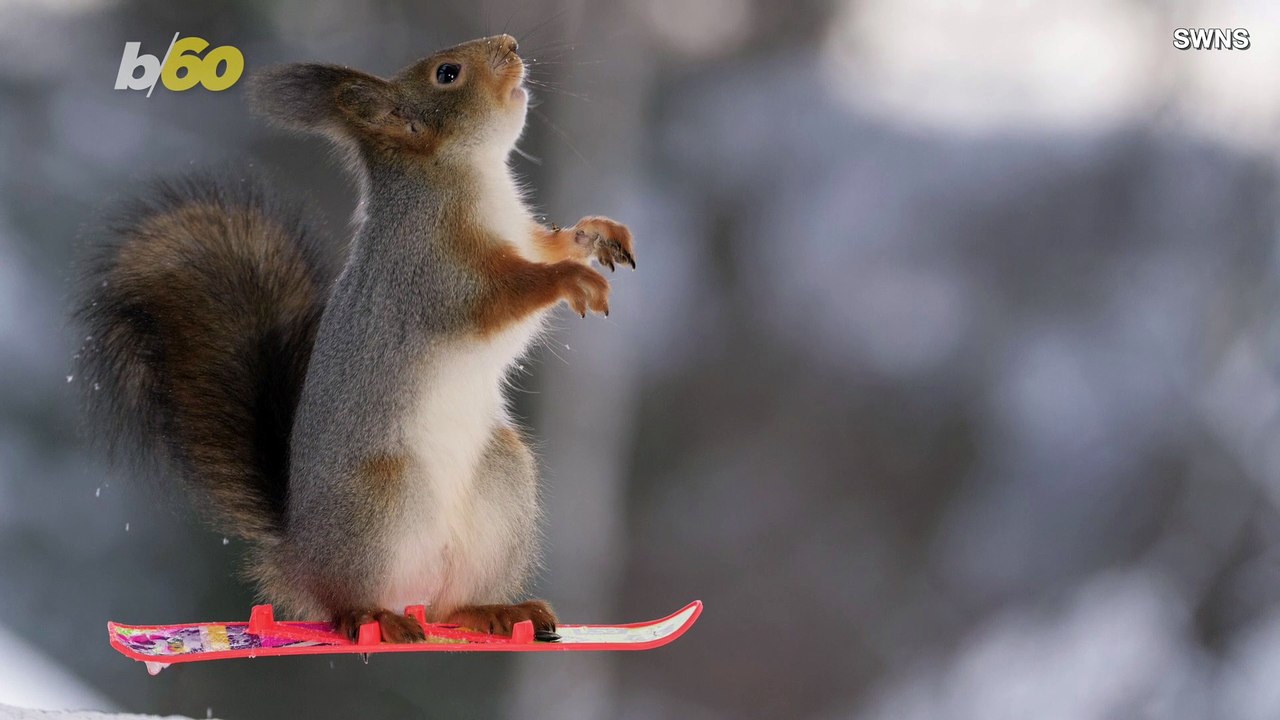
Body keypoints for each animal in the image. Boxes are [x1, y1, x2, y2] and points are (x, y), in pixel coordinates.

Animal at [74, 34, 636, 642]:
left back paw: (496, 611)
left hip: (500, 483)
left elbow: (552, 245)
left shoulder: (524, 237)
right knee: (348, 604)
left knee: (448, 608)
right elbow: (493, 300)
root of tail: (299, 557)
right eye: (447, 74)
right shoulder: (431, 271)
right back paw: (375, 617)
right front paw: (573, 279)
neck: (467, 174)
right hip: (380, 502)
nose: (510, 44)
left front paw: (598, 235)